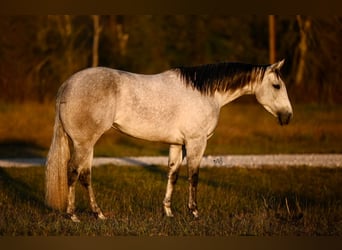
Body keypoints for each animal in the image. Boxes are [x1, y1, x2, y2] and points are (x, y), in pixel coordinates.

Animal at [44, 59, 292, 222]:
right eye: (277, 86)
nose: (288, 116)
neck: (206, 92)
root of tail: (67, 85)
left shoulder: (177, 144)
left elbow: (173, 175)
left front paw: (169, 212)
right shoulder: (196, 142)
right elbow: (194, 176)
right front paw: (194, 212)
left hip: (87, 144)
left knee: (85, 175)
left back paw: (99, 214)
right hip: (84, 143)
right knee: (74, 172)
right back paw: (74, 215)